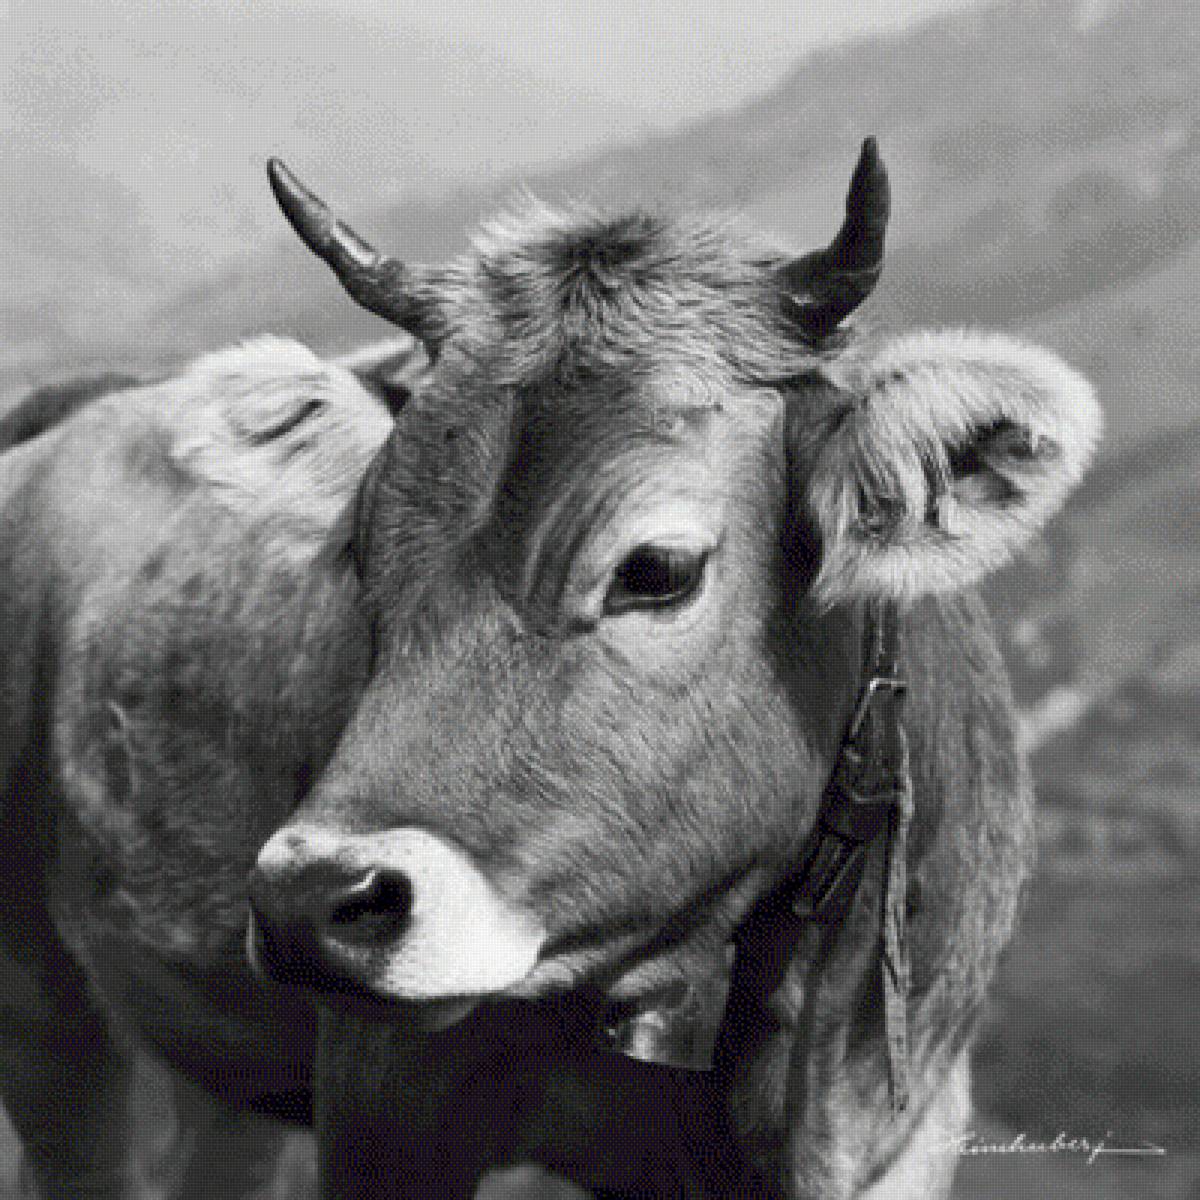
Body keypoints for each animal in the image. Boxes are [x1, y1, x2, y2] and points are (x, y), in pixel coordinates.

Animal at [0, 139, 1100, 1199]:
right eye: (361, 548)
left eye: (656, 569)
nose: (310, 899)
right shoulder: (380, 1109)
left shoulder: (909, 1134)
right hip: (43, 1001)